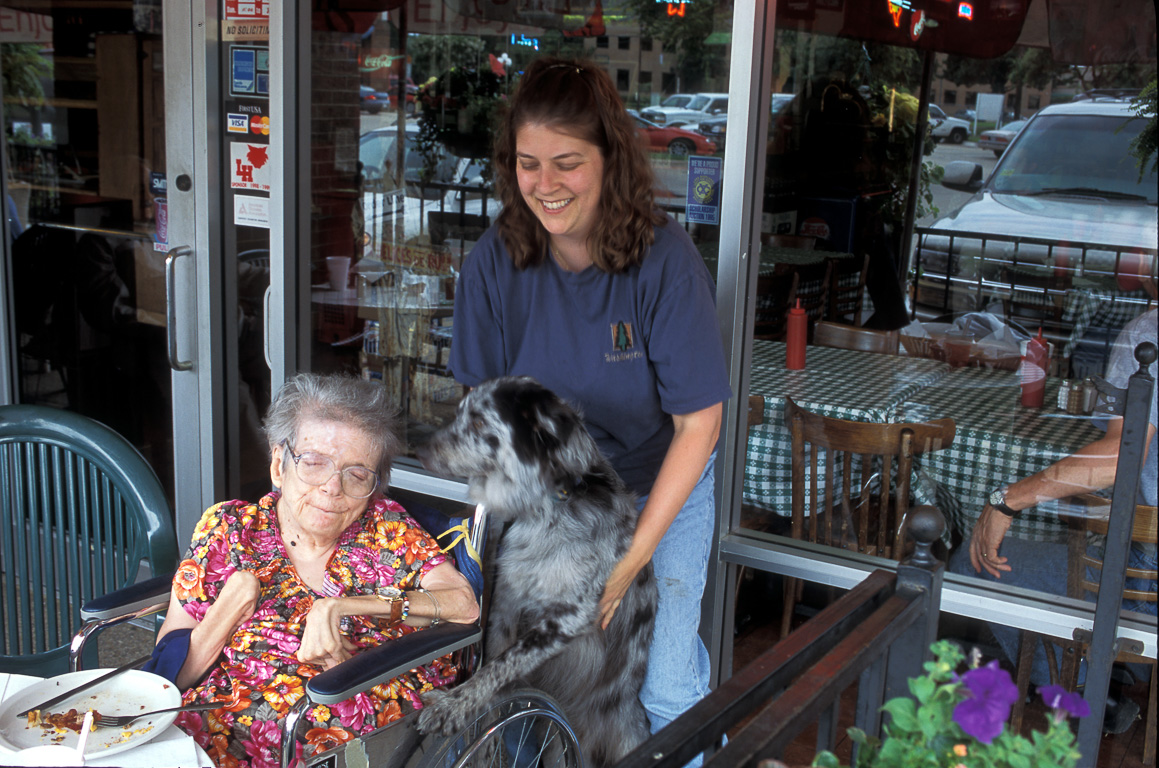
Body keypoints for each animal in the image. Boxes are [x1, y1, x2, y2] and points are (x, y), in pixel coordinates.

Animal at [417, 377, 658, 768]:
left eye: (480, 422)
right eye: (458, 413)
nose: (420, 450)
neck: (545, 509)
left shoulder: (567, 619)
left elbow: (499, 666)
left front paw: (452, 707)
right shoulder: (503, 608)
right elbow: (491, 670)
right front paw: (481, 736)